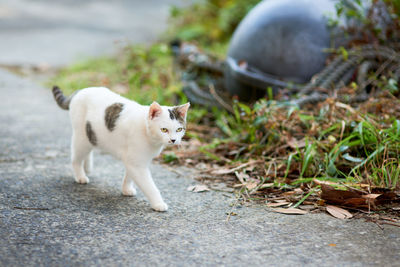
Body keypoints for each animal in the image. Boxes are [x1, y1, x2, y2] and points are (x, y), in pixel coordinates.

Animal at [52, 87, 190, 213]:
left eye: (179, 129)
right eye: (164, 129)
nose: (173, 140)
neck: (147, 133)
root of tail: (80, 90)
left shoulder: (133, 159)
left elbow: (129, 176)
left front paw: (126, 189)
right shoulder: (137, 163)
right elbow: (149, 186)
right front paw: (158, 203)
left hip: (90, 136)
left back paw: (87, 167)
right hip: (81, 137)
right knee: (75, 158)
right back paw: (81, 176)